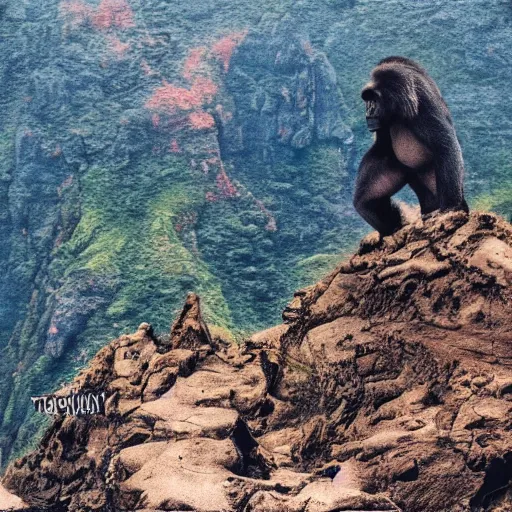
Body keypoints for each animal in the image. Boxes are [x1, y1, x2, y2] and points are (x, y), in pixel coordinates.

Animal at [352, 57, 468, 237]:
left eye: (374, 100)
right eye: (367, 101)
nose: (368, 110)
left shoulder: (419, 99)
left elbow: (445, 145)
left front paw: (451, 207)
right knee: (366, 202)